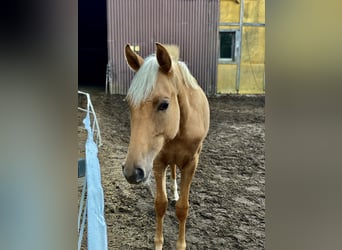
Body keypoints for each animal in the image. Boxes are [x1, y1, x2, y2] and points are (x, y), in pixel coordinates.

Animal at [121, 43, 210, 250]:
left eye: (164, 104)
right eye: (129, 104)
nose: (131, 172)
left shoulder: (191, 164)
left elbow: (183, 208)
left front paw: (181, 245)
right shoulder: (157, 162)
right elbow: (160, 204)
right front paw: (158, 244)